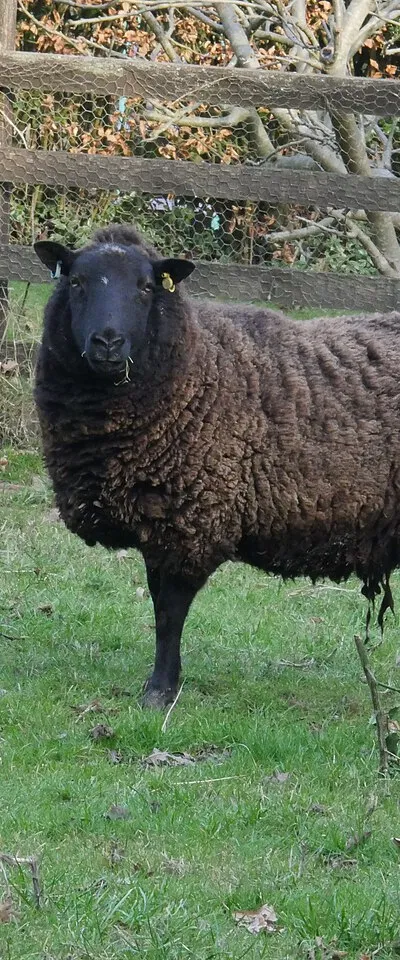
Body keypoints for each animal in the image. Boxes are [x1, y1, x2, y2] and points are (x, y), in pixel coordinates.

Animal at [34, 223, 400, 707]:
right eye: (75, 282)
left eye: (146, 287)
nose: (107, 342)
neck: (196, 369)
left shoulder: (188, 519)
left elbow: (168, 612)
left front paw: (160, 692)